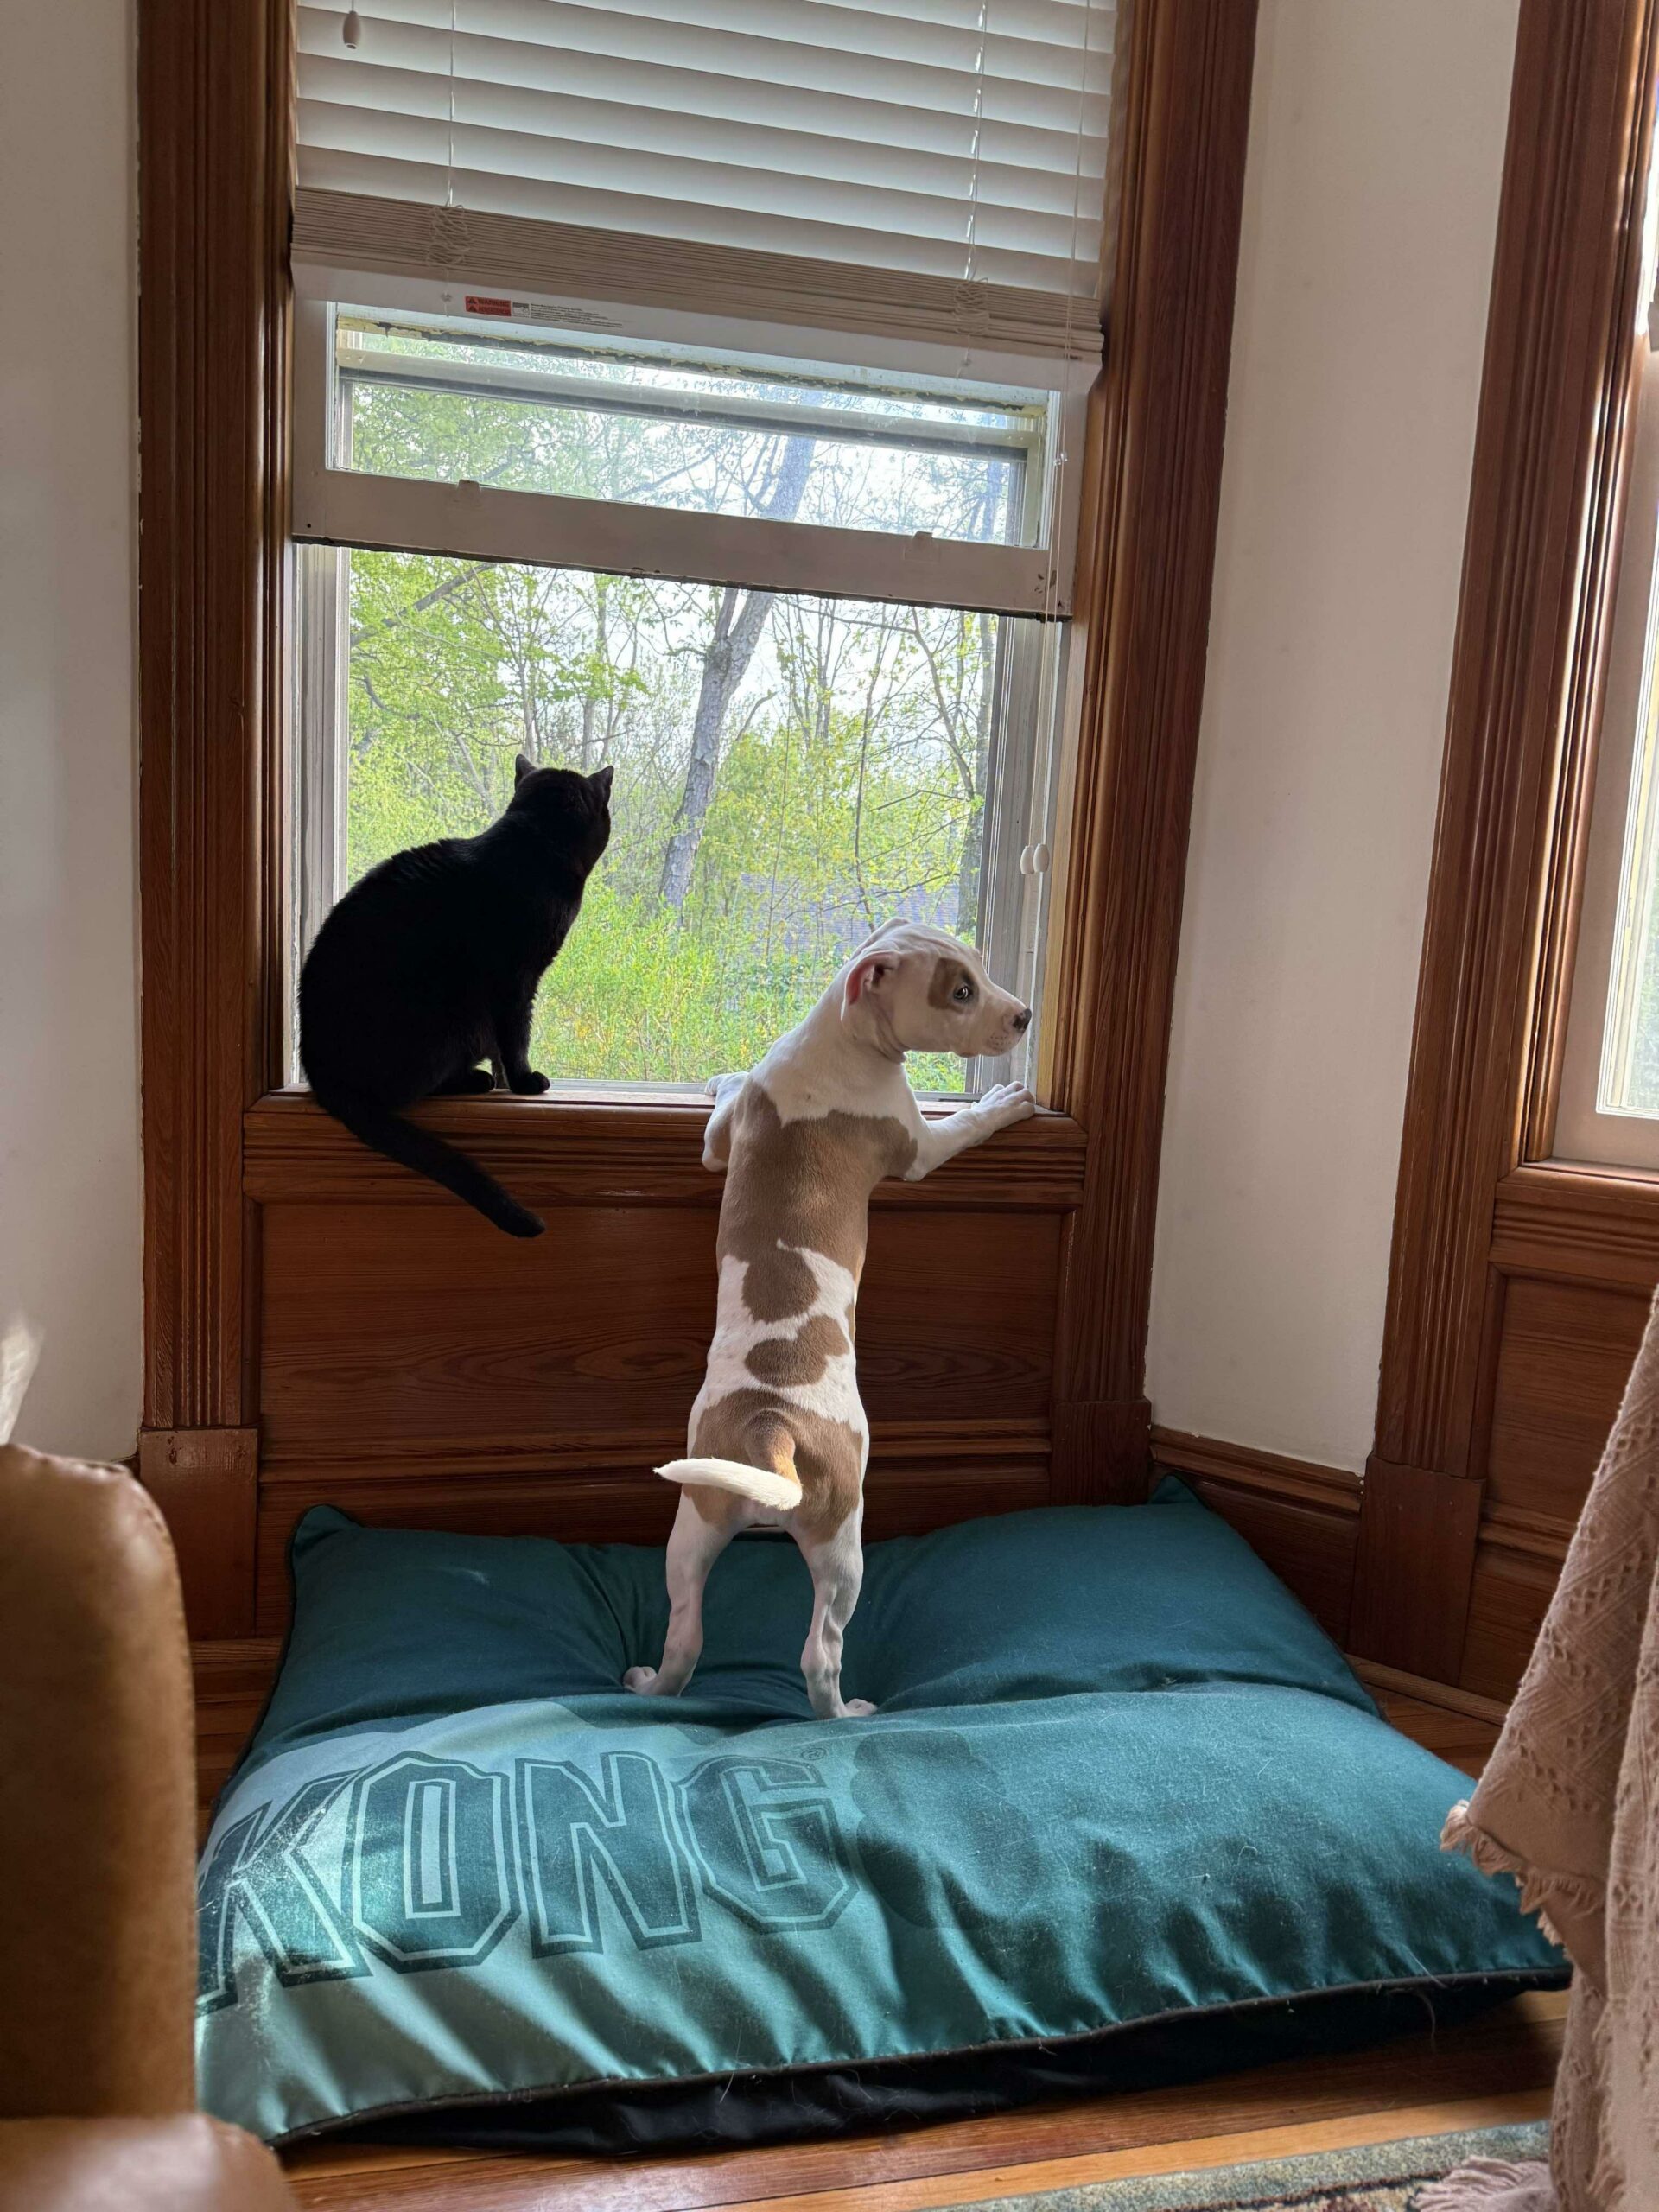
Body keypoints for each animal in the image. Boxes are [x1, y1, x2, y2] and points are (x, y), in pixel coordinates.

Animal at [299, 757, 612, 1238]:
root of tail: (321, 1073)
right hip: (449, 1018)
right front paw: (523, 1083)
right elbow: (516, 1036)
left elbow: (506, 1044)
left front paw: (506, 1081)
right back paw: (474, 1081)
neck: (533, 843)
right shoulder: (516, 980)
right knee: (407, 1092)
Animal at [624, 920, 1037, 1719]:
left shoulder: (726, 1135)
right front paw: (1005, 1101)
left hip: (695, 1522)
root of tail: (771, 1427)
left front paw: (719, 1078)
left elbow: (720, 1121)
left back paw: (652, 1685)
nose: (1026, 1016)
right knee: (822, 1650)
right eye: (960, 991)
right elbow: (963, 1126)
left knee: (686, 1631)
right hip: (844, 1539)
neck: (836, 1037)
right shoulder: (918, 1143)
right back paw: (843, 1712)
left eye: (978, 966)